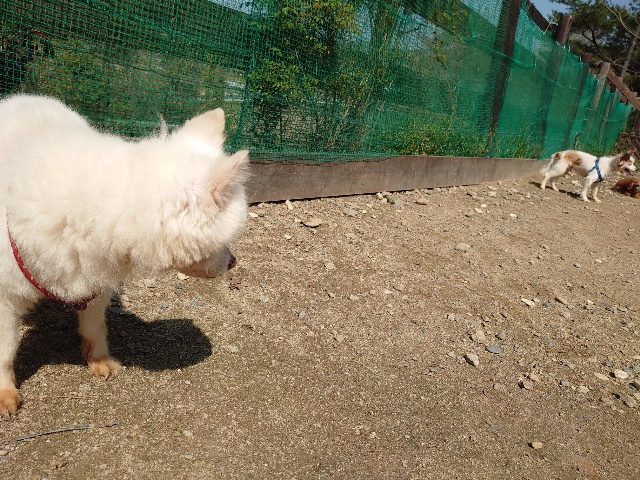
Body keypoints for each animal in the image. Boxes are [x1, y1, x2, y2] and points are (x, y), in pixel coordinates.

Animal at [0, 94, 249, 417]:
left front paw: (99, 360)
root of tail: (25, 97)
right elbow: (4, 349)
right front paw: (4, 393)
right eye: (225, 241)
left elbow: (95, 326)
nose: (233, 262)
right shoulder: (4, 296)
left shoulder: (94, 279)